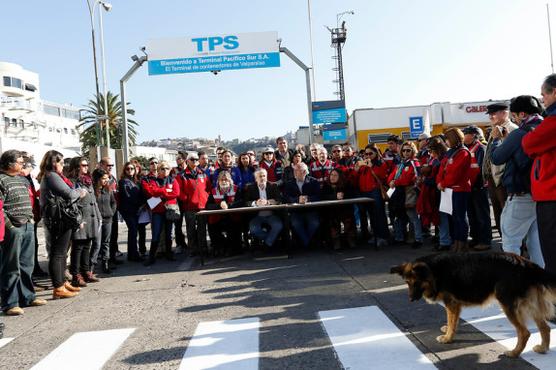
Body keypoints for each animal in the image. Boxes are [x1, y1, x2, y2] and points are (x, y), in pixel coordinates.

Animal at [390, 253, 556, 356]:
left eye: (417, 283)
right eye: (407, 283)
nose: (410, 299)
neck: (433, 271)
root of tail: (526, 264)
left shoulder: (451, 303)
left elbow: (452, 321)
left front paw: (448, 338)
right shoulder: (454, 305)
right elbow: (453, 321)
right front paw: (448, 330)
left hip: (508, 306)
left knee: (524, 332)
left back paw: (514, 353)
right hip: (529, 305)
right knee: (545, 327)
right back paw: (543, 348)